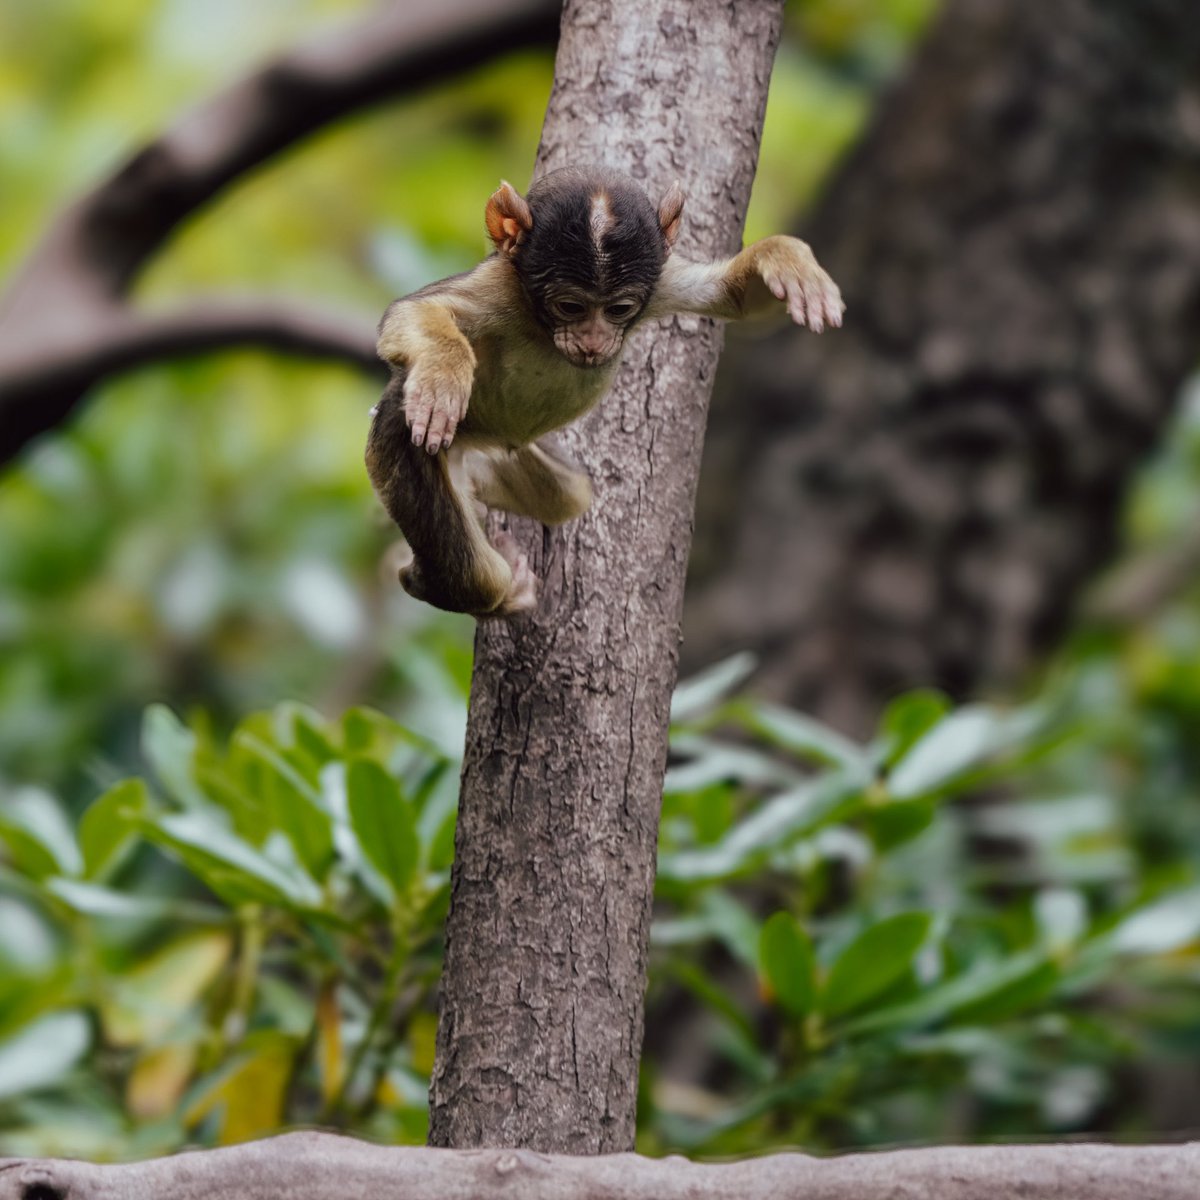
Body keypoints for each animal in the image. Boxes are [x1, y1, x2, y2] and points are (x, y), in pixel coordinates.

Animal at [366, 166, 843, 618]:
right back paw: (438, 582)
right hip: (398, 436)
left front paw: (784, 261)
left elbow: (737, 300)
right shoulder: (501, 288)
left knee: (569, 494)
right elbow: (412, 312)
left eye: (619, 309)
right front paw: (442, 378)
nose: (593, 342)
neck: (540, 325)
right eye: (570, 306)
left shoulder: (659, 282)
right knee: (475, 574)